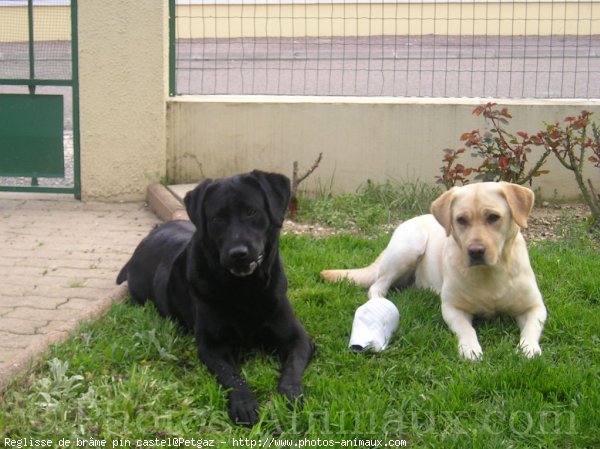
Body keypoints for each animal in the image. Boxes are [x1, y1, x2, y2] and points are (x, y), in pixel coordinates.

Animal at [116, 170, 314, 426]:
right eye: (217, 219)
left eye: (251, 212)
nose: (238, 253)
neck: (245, 289)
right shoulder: (212, 346)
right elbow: (232, 375)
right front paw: (244, 403)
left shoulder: (298, 338)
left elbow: (292, 368)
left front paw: (291, 395)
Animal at [324, 180, 548, 358]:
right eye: (461, 220)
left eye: (493, 217)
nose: (475, 251)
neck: (489, 274)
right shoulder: (452, 309)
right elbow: (467, 329)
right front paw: (470, 348)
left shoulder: (535, 307)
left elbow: (531, 328)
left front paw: (528, 348)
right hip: (409, 247)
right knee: (377, 286)